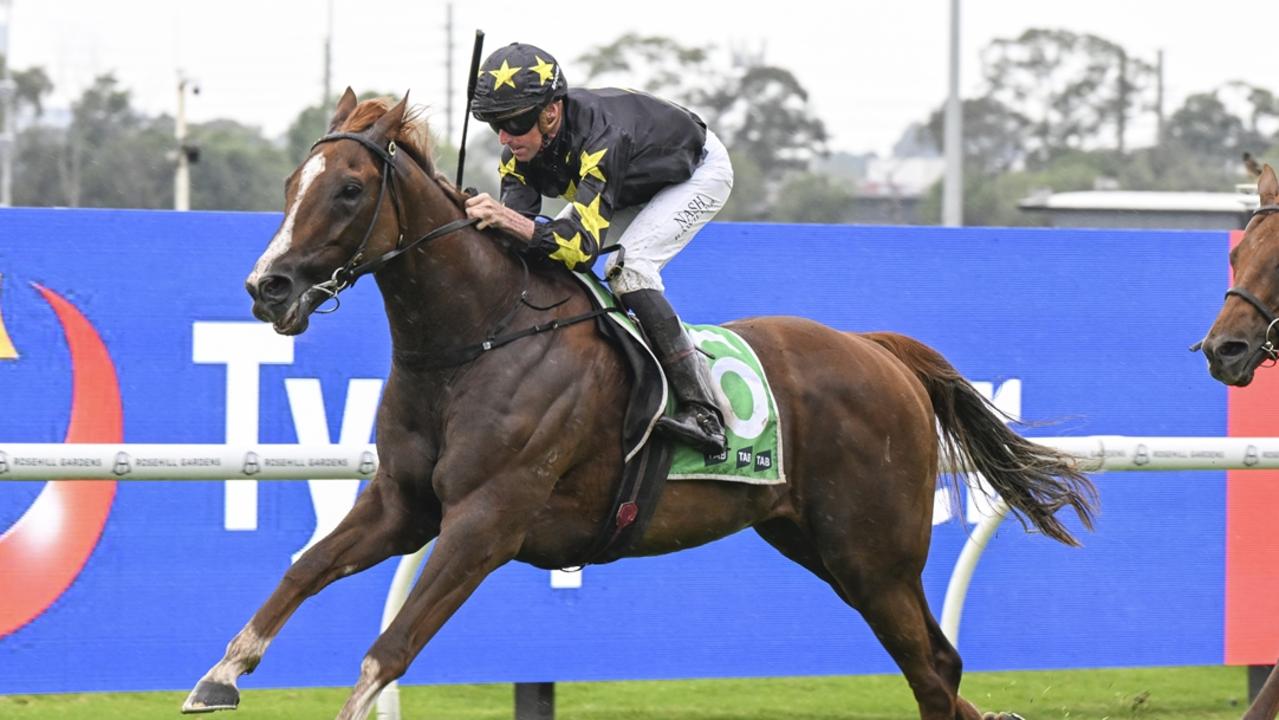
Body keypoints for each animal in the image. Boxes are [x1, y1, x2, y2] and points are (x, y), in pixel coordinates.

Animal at [180, 90, 1094, 720]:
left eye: (347, 190)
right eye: (293, 181)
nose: (267, 287)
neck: (479, 338)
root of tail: (878, 351)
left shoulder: (485, 519)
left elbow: (388, 648)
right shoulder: (403, 506)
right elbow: (300, 572)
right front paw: (219, 678)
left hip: (875, 553)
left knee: (934, 671)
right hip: (818, 543)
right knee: (935, 671)